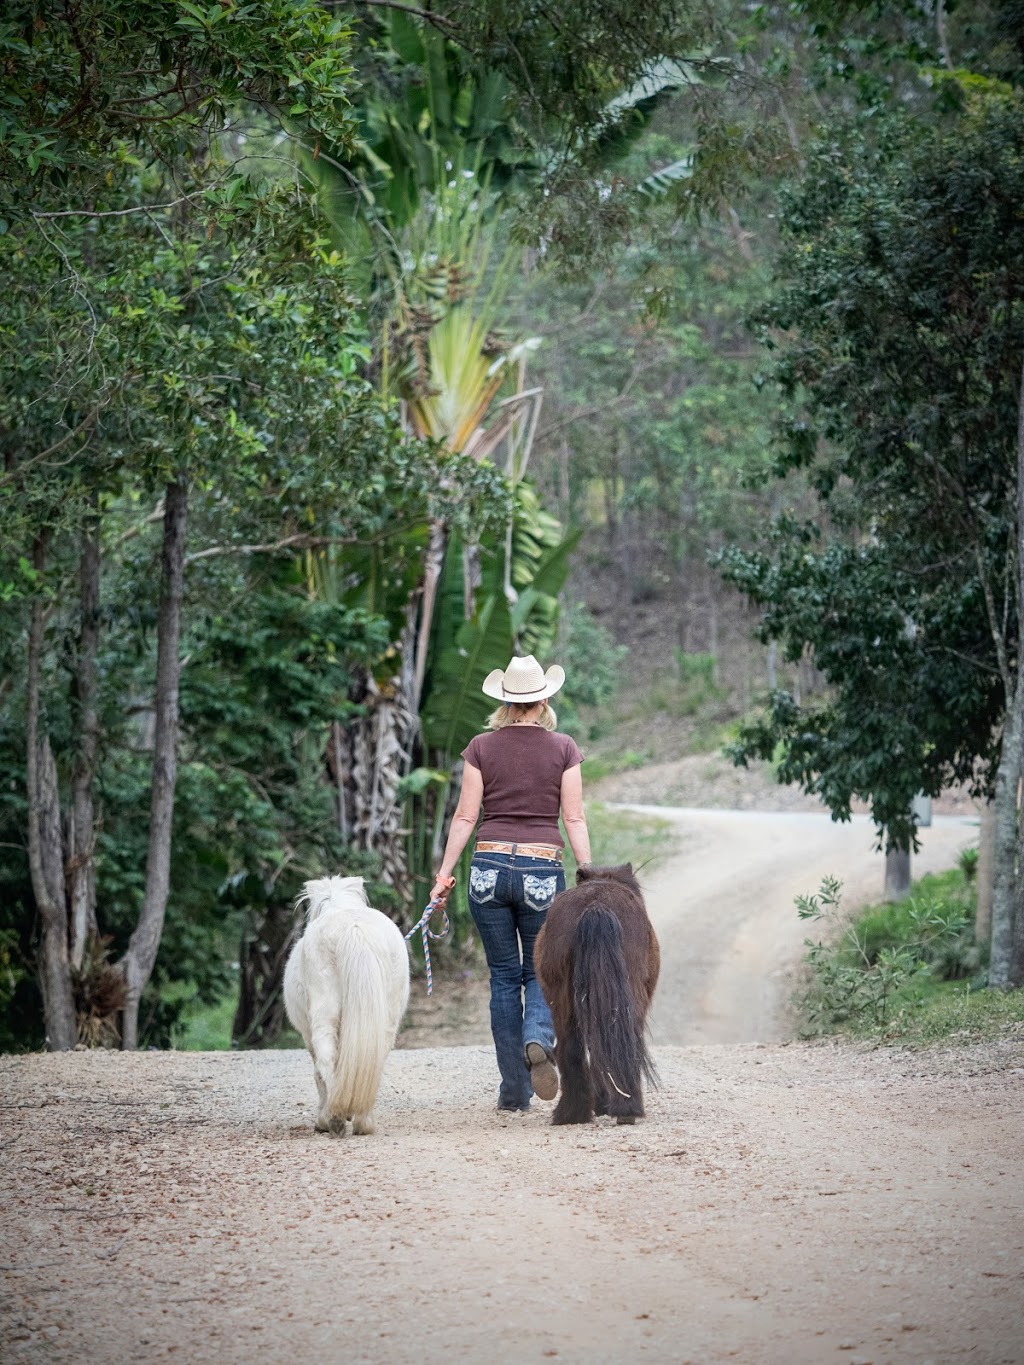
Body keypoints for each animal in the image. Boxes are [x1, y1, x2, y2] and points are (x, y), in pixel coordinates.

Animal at [282, 879, 412, 1135]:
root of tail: (354, 928)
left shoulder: (307, 1037)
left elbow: (318, 1073)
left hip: (322, 1017)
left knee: (325, 1061)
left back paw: (333, 1118)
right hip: (386, 1020)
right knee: (374, 1060)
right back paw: (362, 1120)